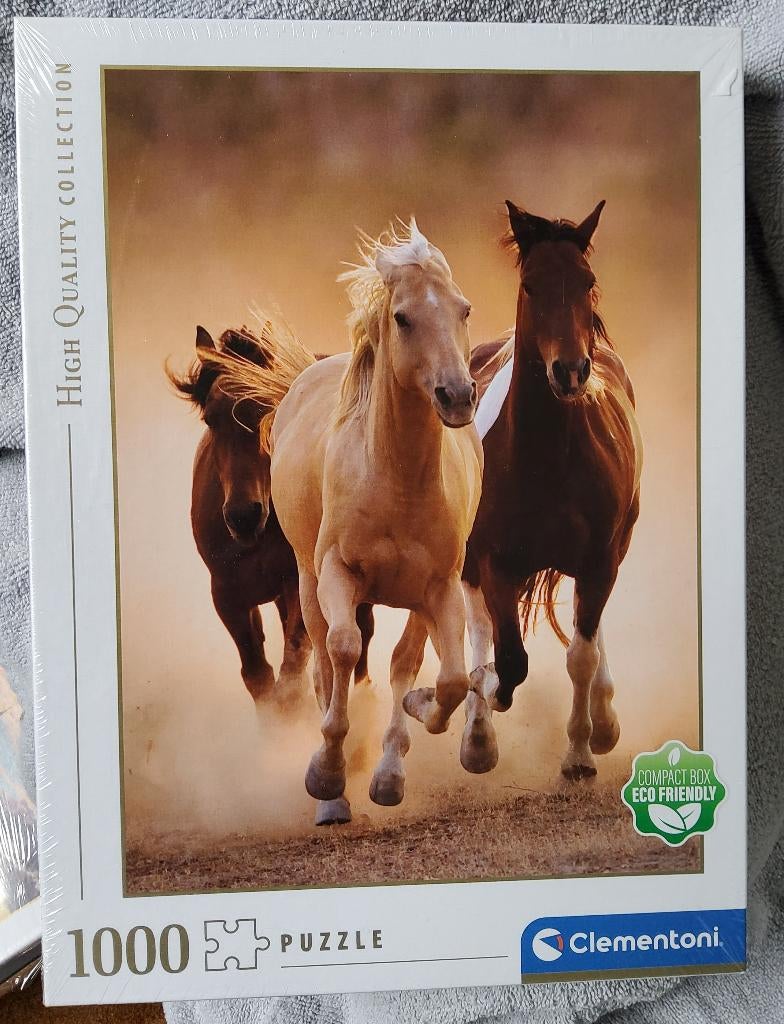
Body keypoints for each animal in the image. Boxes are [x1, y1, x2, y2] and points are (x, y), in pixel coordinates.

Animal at [167, 323, 375, 711]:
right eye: (210, 419)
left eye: (270, 411)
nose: (243, 516)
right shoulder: (227, 594)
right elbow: (257, 674)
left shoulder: (298, 582)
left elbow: (293, 665)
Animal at [264, 220, 487, 824]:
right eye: (403, 317)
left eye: (463, 309)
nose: (457, 396)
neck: (396, 479)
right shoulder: (338, 573)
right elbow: (342, 650)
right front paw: (326, 774)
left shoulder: (438, 588)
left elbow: (442, 677)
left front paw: (401, 749)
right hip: (306, 579)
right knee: (324, 659)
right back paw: (334, 796)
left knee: (400, 662)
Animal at [463, 200, 642, 781]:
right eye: (531, 285)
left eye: (587, 281)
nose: (569, 371)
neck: (547, 462)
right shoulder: (494, 559)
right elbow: (509, 659)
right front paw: (486, 703)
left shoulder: (600, 558)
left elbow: (581, 654)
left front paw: (581, 752)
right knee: (478, 625)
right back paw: (476, 734)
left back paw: (603, 723)